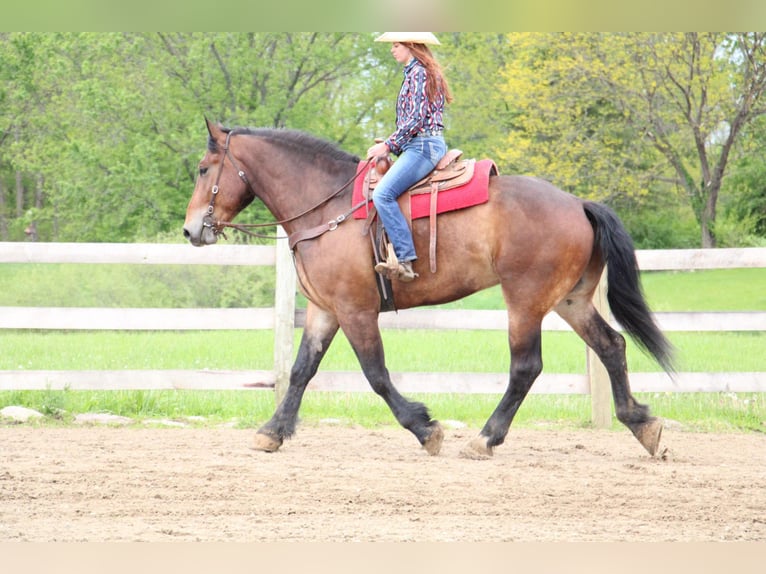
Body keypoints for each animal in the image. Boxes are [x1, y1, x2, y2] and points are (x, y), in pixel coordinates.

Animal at [183, 119, 676, 462]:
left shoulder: (356, 311)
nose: (190, 230)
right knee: (611, 346)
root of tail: (578, 204)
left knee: (526, 367)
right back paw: (642, 426)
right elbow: (303, 370)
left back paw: (485, 438)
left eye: (204, 168)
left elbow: (377, 375)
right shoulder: (326, 310)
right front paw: (272, 432)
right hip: (570, 300)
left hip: (525, 302)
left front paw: (425, 429)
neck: (328, 205)